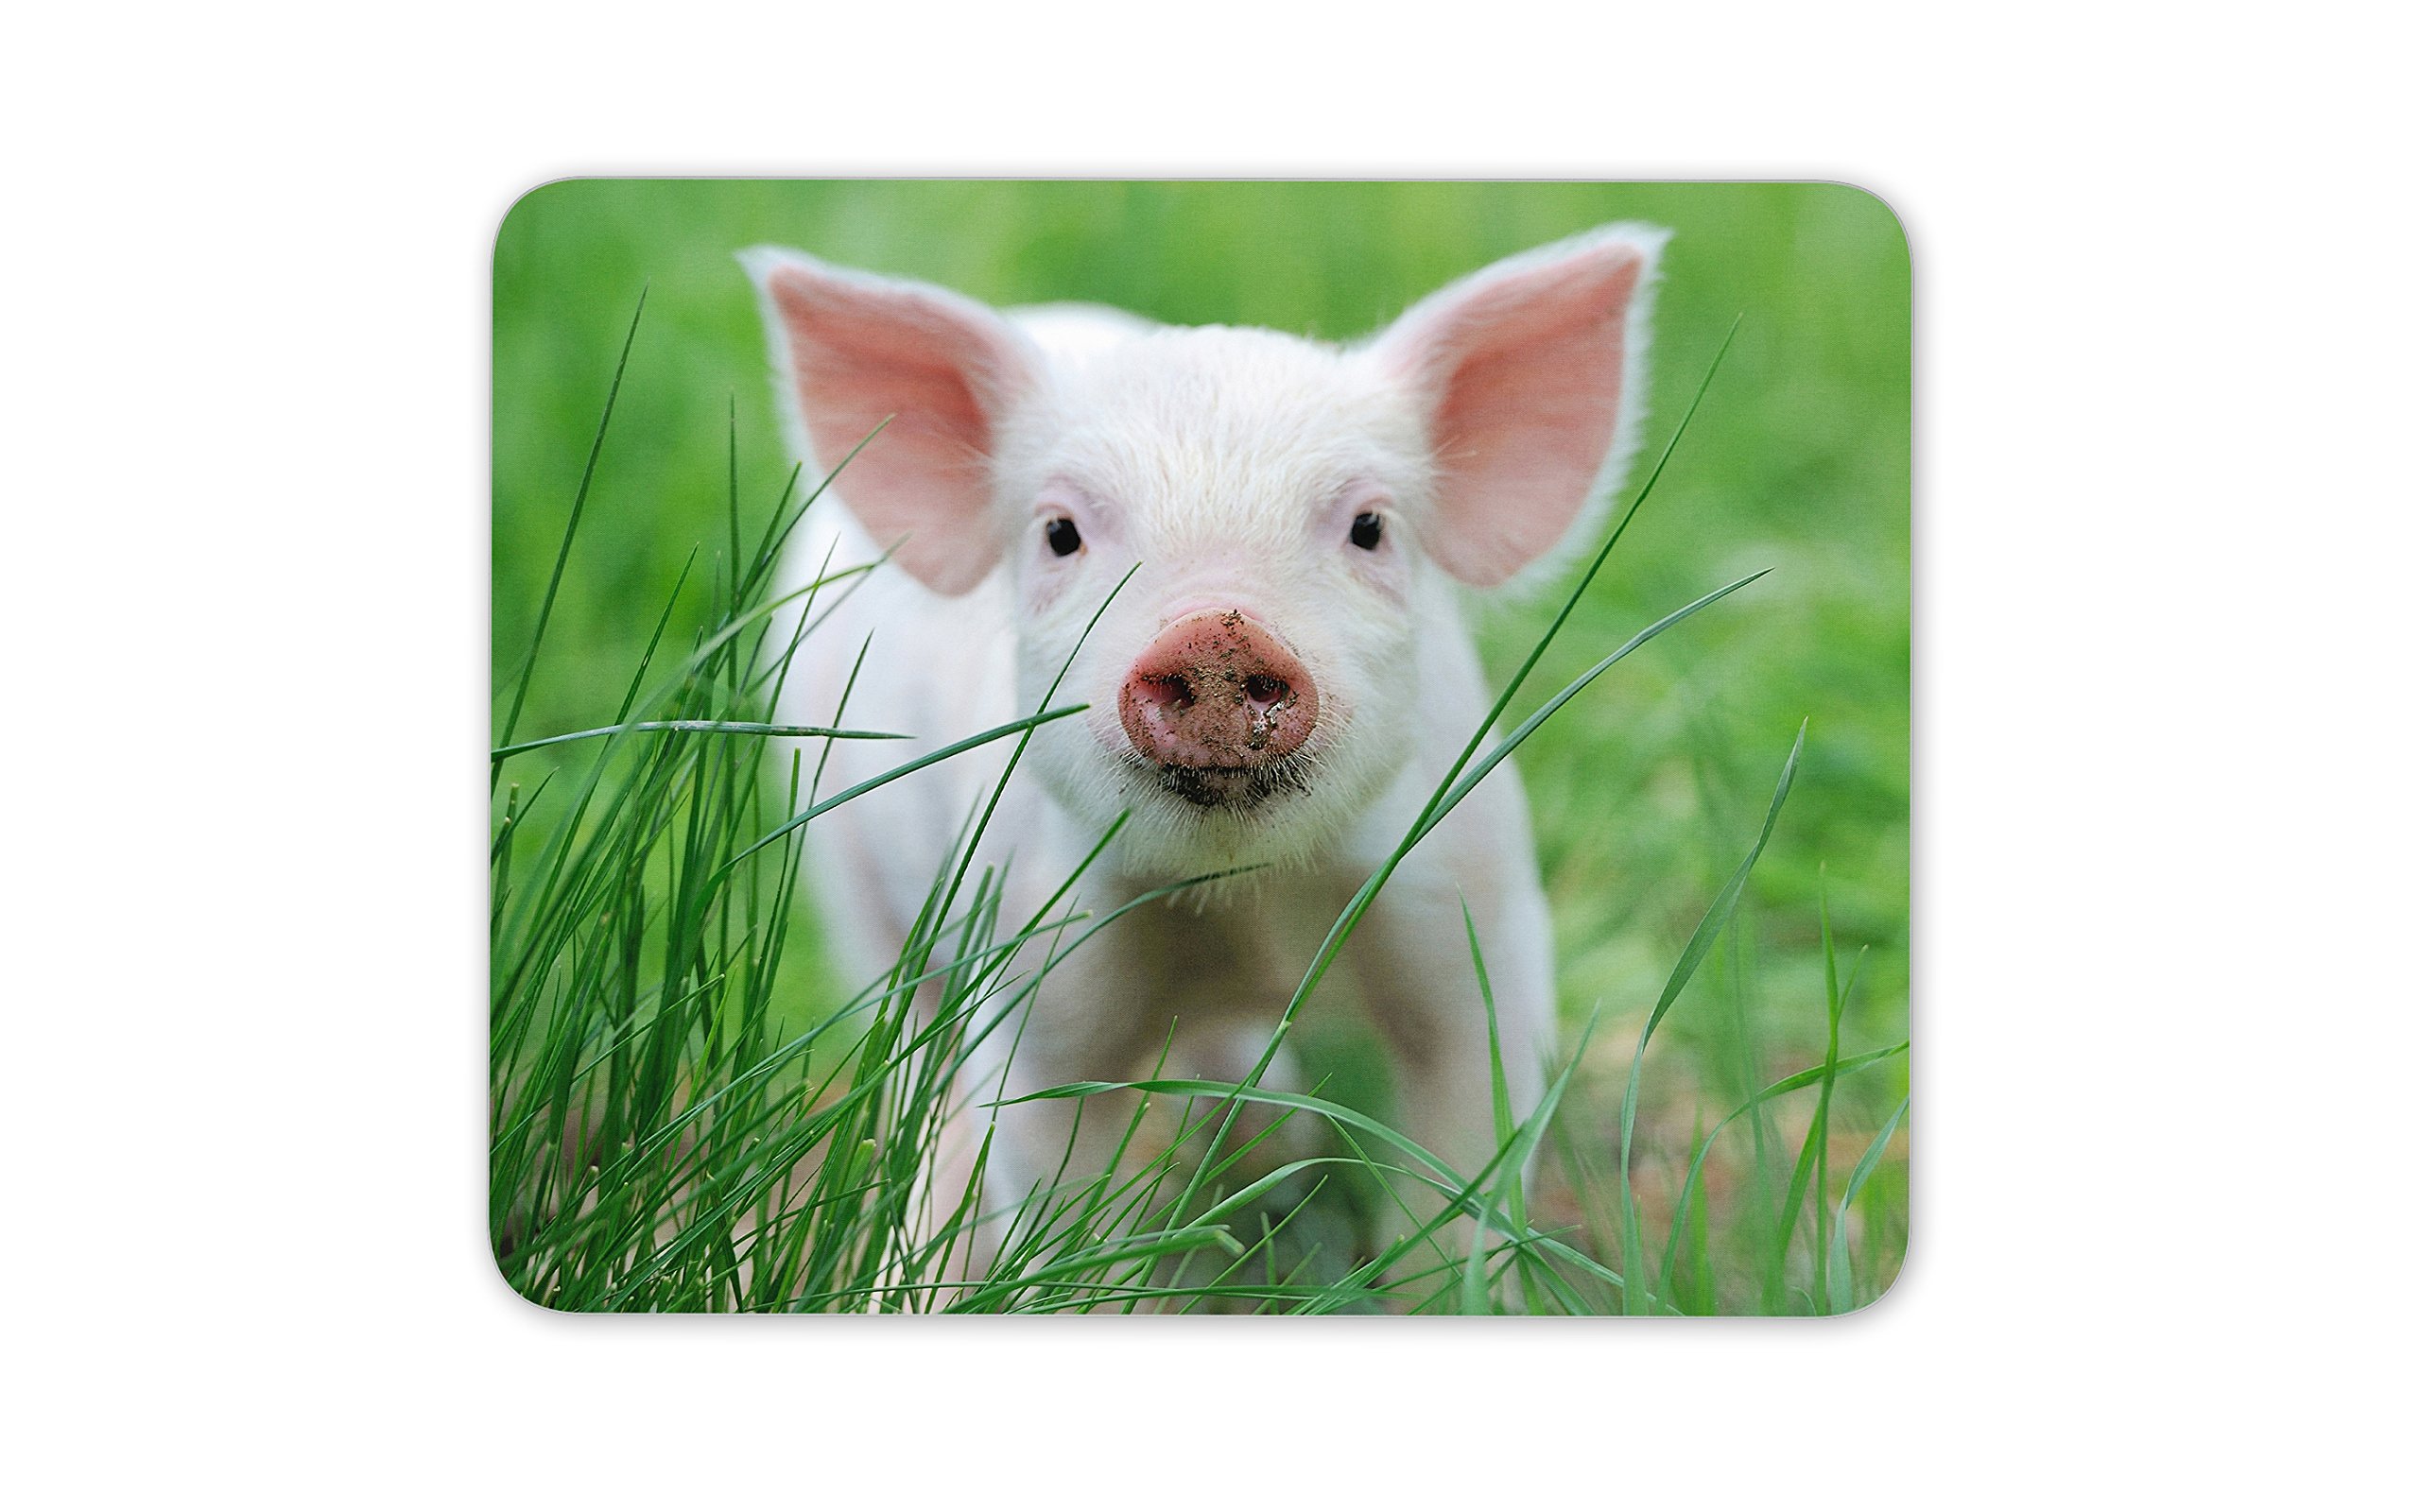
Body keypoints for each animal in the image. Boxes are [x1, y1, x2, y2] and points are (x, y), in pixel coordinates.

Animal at [741, 223, 1666, 1283]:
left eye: (1370, 526)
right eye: (1059, 533)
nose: (1216, 635)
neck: (1242, 903)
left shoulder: (1479, 920)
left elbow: (1463, 1162)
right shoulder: (1029, 968)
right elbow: (1046, 1171)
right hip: (850, 875)